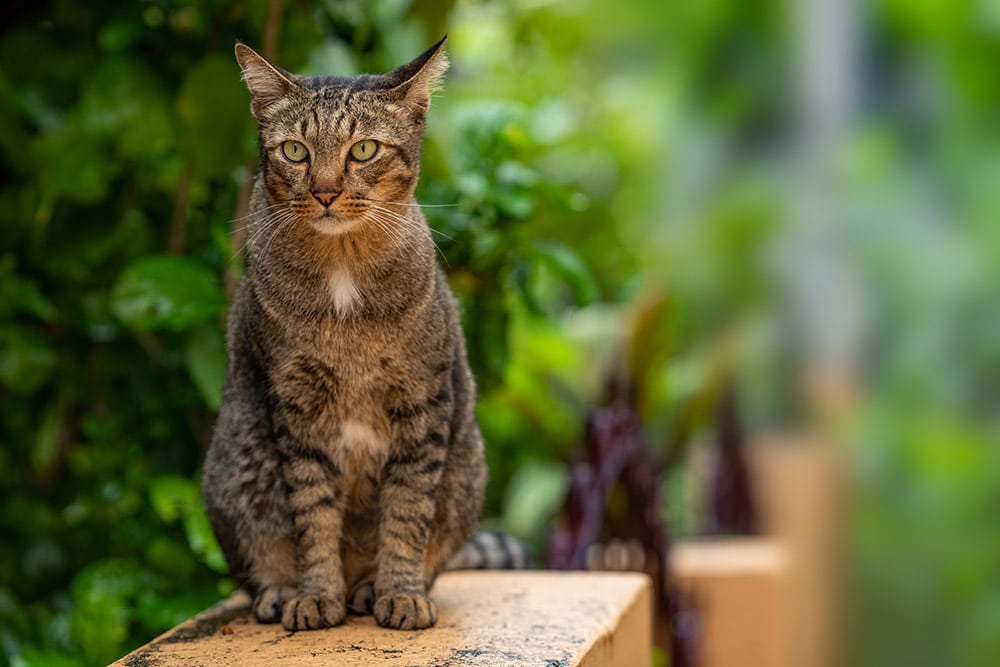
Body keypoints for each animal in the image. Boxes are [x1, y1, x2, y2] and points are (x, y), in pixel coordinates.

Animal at [204, 36, 496, 632]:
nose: (324, 191)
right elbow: (312, 516)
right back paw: (283, 591)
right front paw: (316, 594)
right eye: (295, 151)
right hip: (235, 461)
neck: (343, 274)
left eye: (363, 150)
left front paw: (400, 592)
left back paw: (366, 588)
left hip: (466, 469)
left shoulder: (423, 404)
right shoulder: (294, 411)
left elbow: (407, 515)